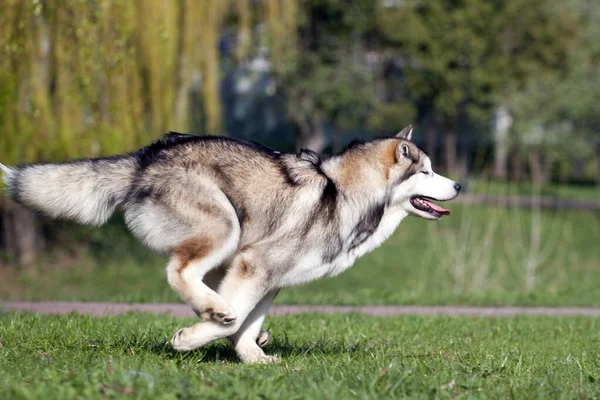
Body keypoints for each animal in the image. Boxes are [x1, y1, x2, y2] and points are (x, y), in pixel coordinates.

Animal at [0, 125, 462, 362]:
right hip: (225, 227)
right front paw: (192, 339)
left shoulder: (268, 279)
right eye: (426, 171)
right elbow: (237, 316)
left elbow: (249, 321)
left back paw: (212, 309)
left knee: (199, 281)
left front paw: (253, 357)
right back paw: (212, 310)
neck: (344, 192)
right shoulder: (254, 264)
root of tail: (148, 156)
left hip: (227, 243)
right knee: (179, 270)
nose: (459, 185)